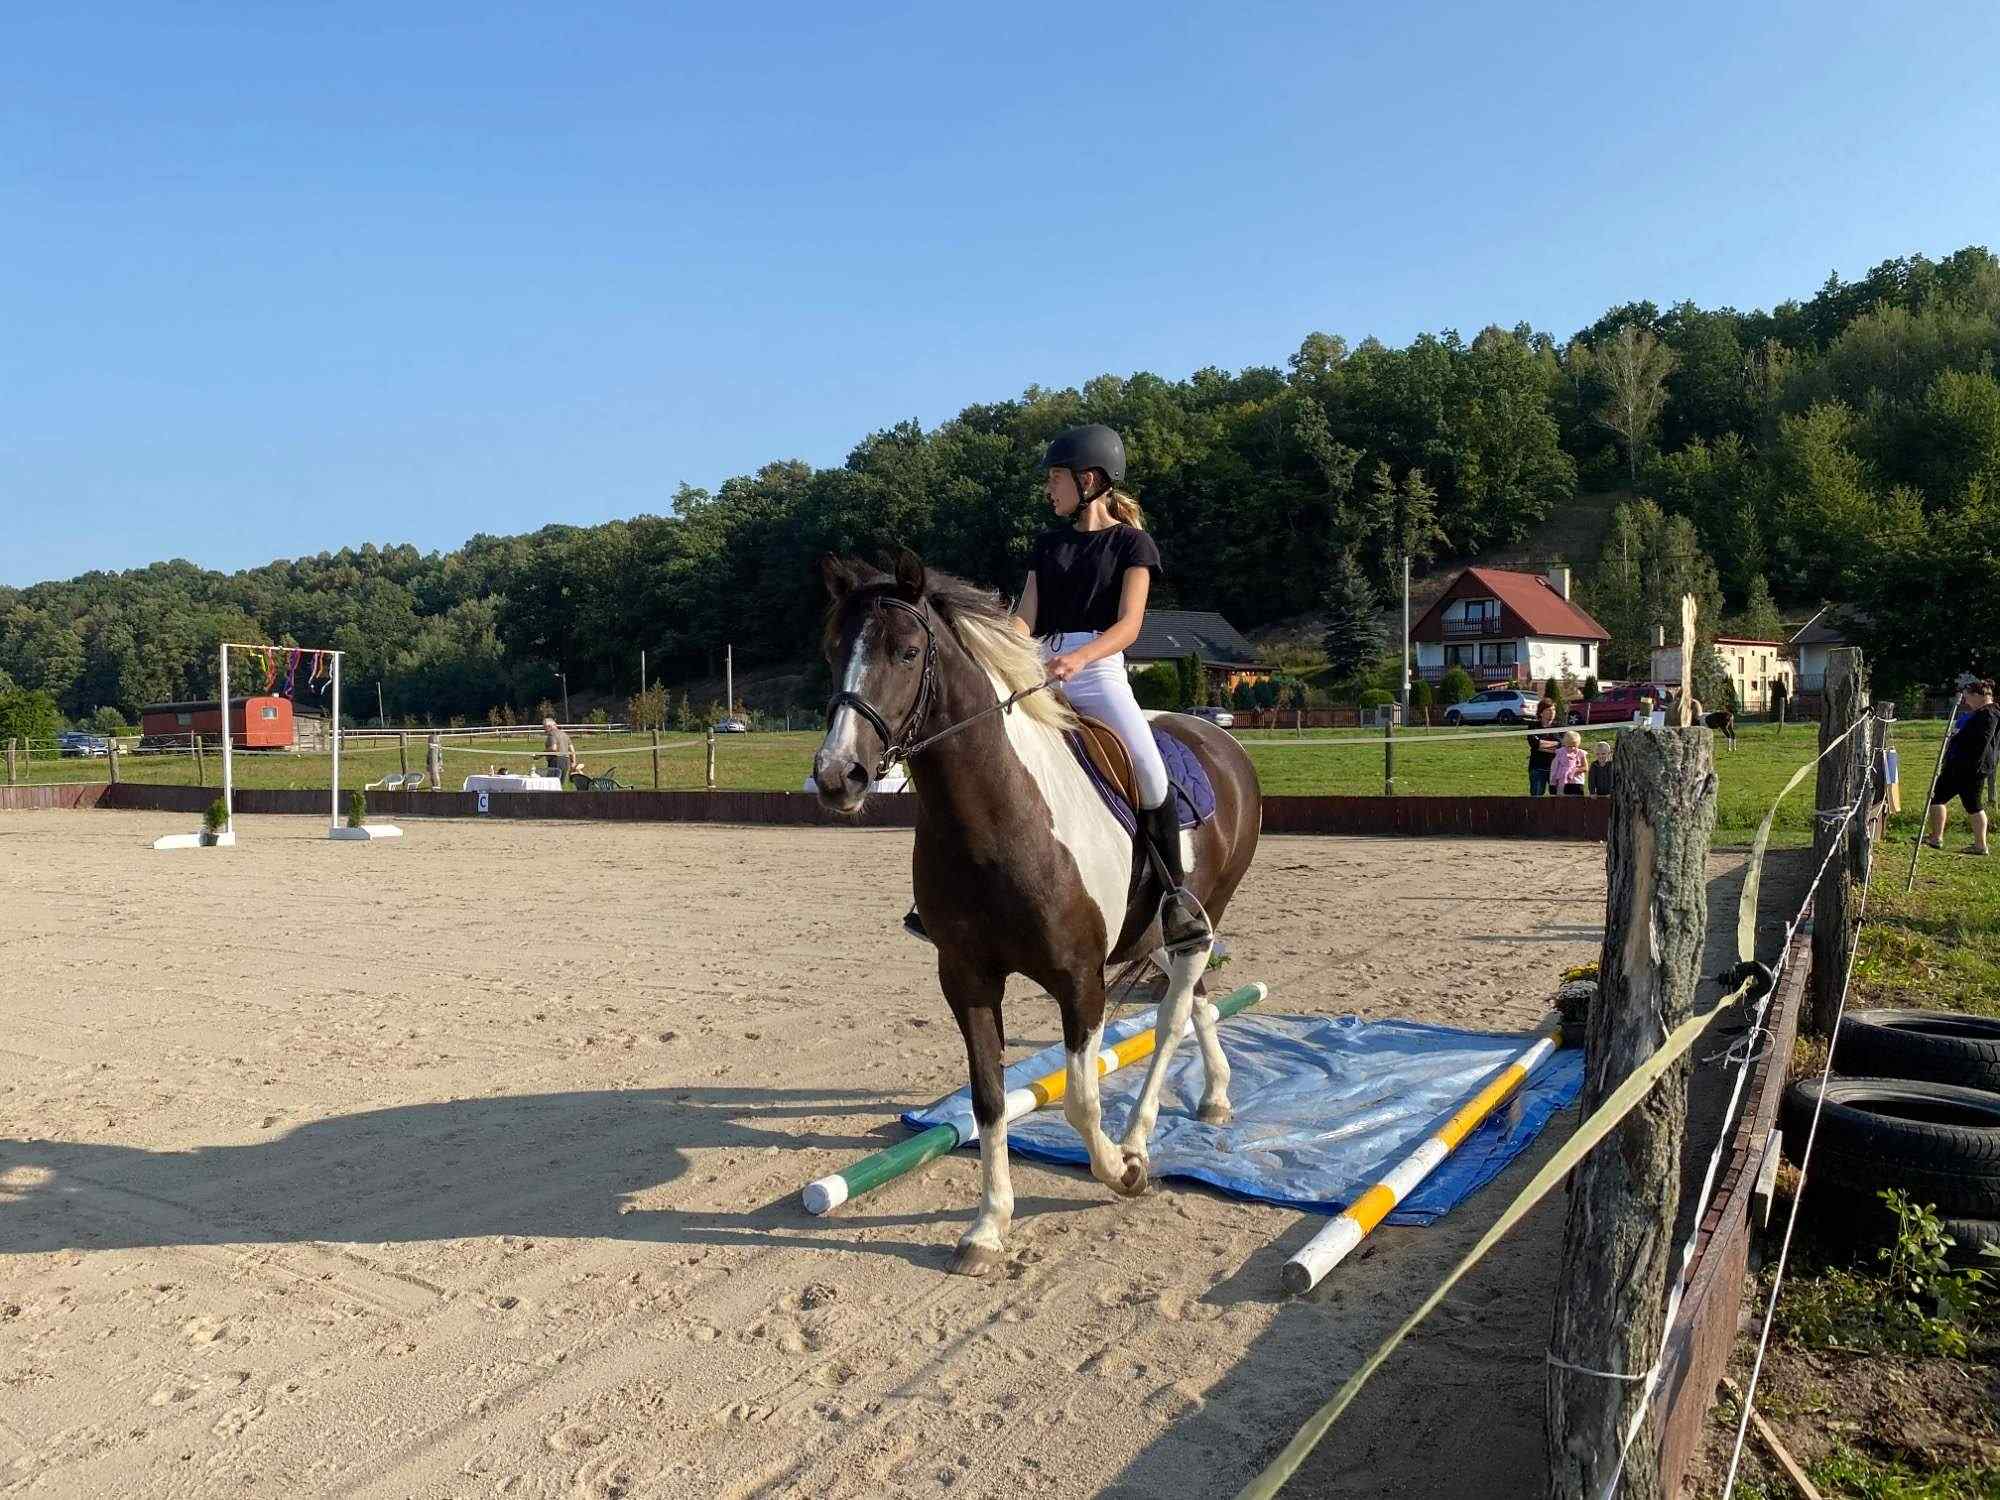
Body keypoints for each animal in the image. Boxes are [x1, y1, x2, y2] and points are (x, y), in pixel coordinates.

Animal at [808, 552, 1248, 1280]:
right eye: (833, 650)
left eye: (906, 652)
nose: (837, 776)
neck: (1000, 819)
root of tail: (1216, 735)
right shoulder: (966, 979)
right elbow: (987, 1099)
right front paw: (988, 1226)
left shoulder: (1080, 981)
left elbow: (1079, 1100)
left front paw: (1121, 1171)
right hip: (1163, 930)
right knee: (1201, 1001)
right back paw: (1214, 1095)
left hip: (1200, 913)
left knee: (1172, 1015)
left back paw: (1140, 1138)